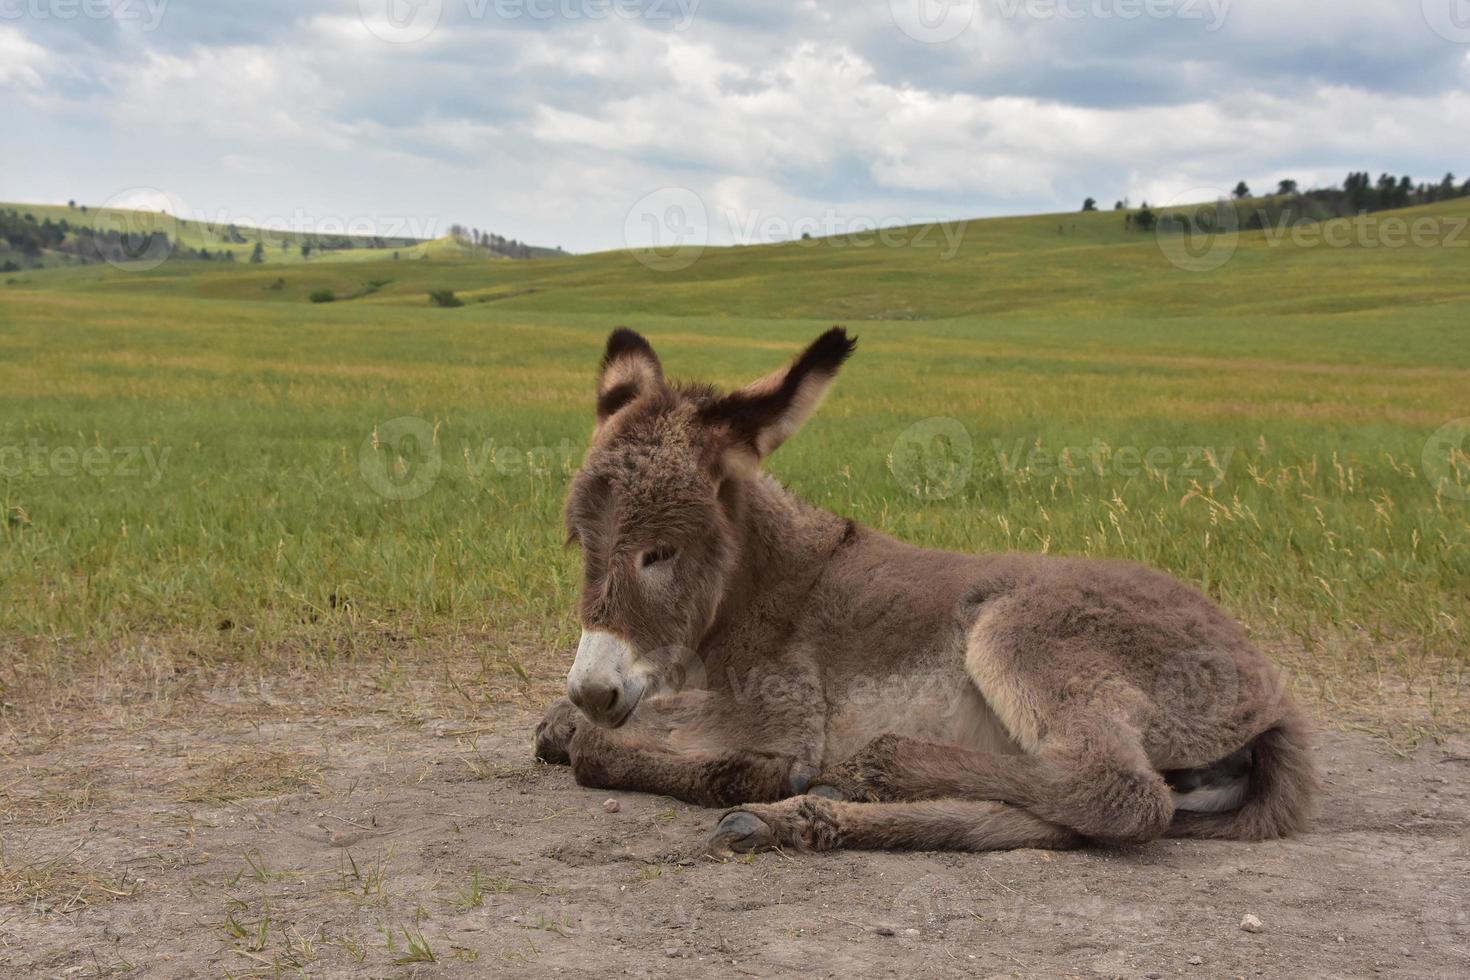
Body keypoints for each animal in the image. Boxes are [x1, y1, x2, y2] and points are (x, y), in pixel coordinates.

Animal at [535, 326, 1317, 852]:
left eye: (660, 553)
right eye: (581, 544)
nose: (593, 689)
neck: (756, 584)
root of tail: (1273, 698)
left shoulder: (778, 712)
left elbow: (598, 749)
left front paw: (746, 771)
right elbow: (566, 728)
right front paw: (569, 717)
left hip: (1023, 633)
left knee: (1119, 792)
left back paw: (865, 773)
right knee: (1066, 819)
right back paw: (809, 815)